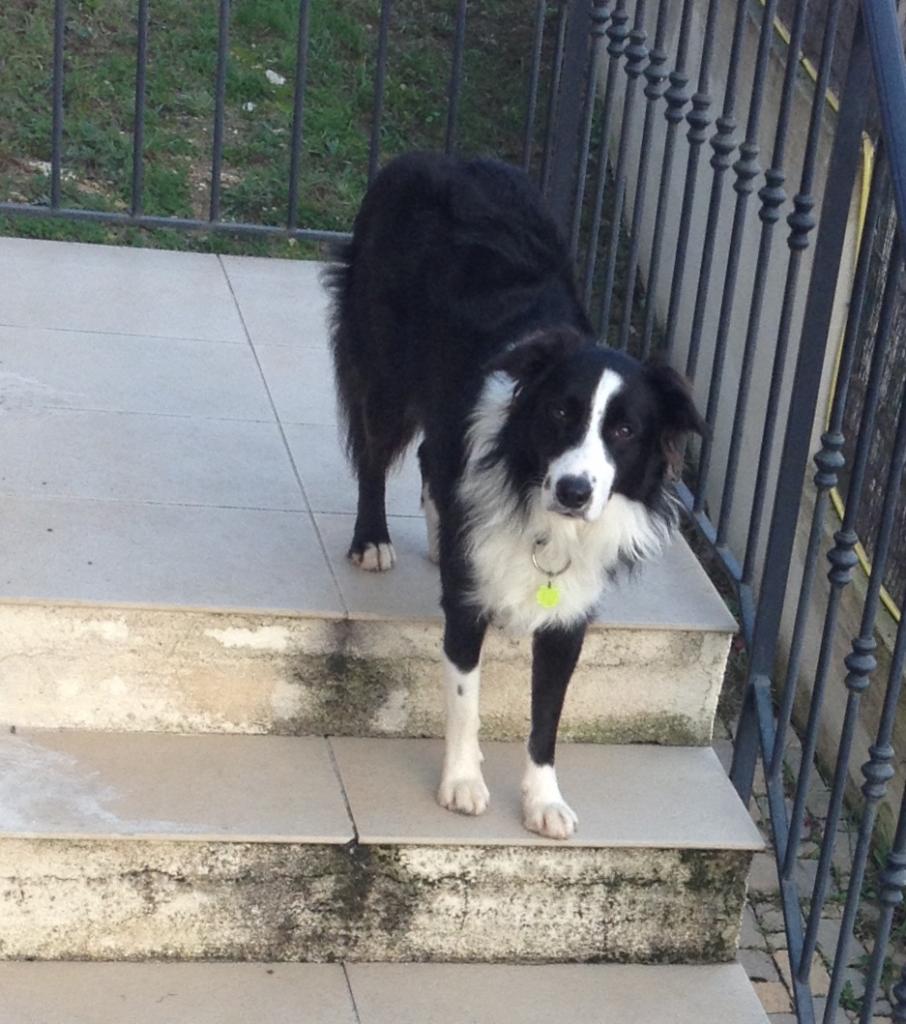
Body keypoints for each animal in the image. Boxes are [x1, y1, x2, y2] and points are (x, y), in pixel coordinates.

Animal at [321, 151, 704, 839]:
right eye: (559, 413)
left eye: (625, 431)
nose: (575, 491)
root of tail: (428, 155)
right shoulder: (466, 603)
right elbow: (465, 697)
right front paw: (462, 784)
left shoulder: (570, 614)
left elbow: (547, 716)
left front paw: (544, 800)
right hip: (383, 357)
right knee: (373, 445)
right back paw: (373, 541)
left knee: (432, 456)